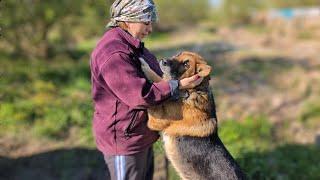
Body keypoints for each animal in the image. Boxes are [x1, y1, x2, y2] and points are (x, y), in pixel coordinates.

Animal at [139, 51, 245, 179]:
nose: (163, 61)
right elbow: (160, 81)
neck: (193, 90)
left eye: (186, 64)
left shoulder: (155, 120)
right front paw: (146, 66)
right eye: (178, 54)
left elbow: (148, 99)